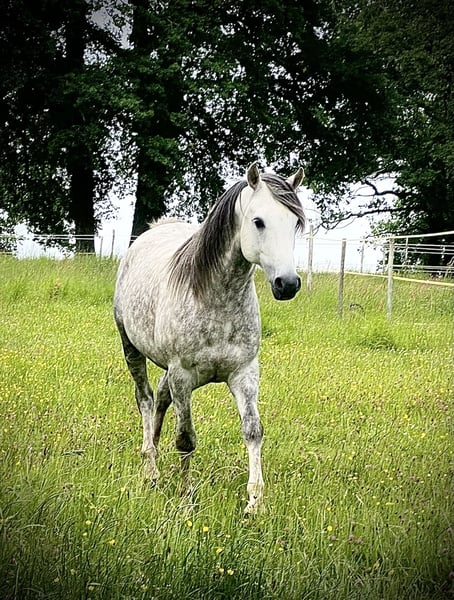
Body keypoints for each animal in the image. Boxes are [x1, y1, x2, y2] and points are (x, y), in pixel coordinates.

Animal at [114, 163, 305, 513]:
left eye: (295, 223)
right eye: (258, 221)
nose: (287, 284)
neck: (216, 299)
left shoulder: (244, 373)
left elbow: (253, 431)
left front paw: (255, 501)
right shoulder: (182, 376)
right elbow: (186, 438)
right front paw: (186, 497)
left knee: (160, 398)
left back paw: (155, 449)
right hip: (131, 348)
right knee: (145, 399)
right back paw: (150, 467)